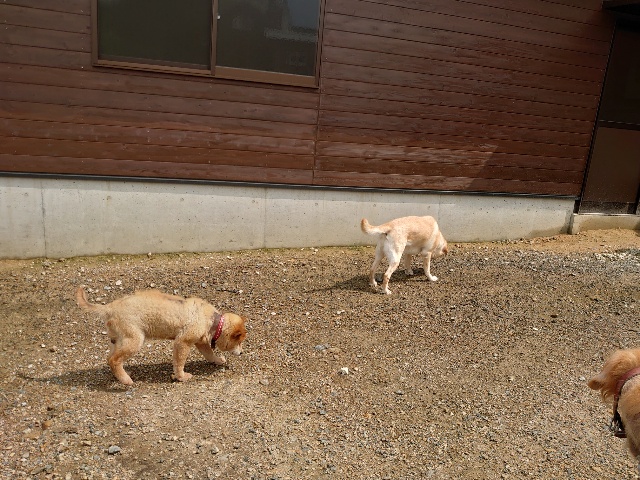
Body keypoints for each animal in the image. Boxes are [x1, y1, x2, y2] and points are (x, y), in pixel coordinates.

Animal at [76, 286, 247, 385]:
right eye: (239, 342)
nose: (242, 352)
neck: (214, 321)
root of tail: (109, 307)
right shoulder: (182, 342)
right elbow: (179, 363)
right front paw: (181, 377)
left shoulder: (201, 342)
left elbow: (209, 355)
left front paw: (217, 360)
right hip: (134, 340)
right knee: (114, 360)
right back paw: (126, 380)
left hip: (118, 341)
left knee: (110, 358)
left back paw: (121, 375)